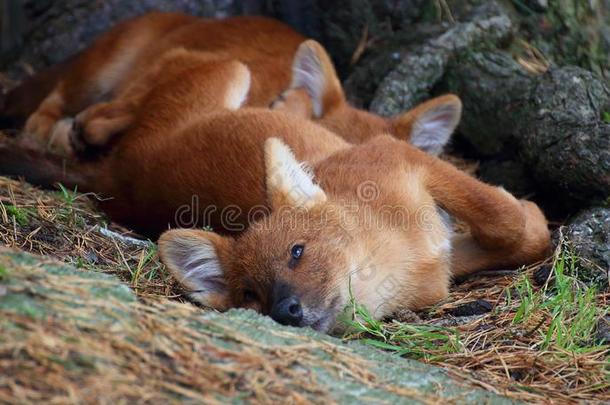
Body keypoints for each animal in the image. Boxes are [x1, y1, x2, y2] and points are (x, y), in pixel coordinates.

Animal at [0, 59, 548, 332]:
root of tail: (119, 175)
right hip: (224, 73)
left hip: (230, 73)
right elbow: (510, 227)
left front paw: (530, 217)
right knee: (104, 109)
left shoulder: (403, 164)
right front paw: (533, 211)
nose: (286, 311)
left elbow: (510, 231)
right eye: (250, 294)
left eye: (297, 252)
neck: (401, 263)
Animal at [3, 11, 456, 156]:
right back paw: (47, 129)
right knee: (53, 100)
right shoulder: (183, 58)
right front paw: (82, 134)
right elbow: (104, 117)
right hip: (103, 66)